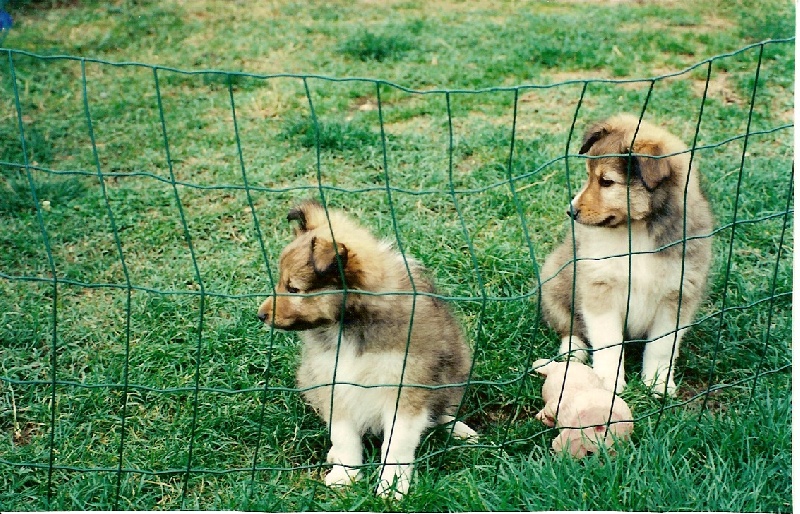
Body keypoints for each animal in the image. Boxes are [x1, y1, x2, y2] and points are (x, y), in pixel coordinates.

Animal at [256, 199, 476, 496]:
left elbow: (397, 446)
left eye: (293, 289)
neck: (350, 326)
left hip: (456, 370)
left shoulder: (406, 386)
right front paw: (345, 476)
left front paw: (391, 488)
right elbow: (343, 435)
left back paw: (458, 430)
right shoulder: (333, 382)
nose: (260, 315)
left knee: (441, 411)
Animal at [540, 115, 716, 396]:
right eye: (588, 175)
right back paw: (572, 352)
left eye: (606, 181)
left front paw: (657, 383)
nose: (571, 211)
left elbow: (661, 347)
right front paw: (607, 382)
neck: (637, 231)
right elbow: (608, 343)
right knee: (570, 329)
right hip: (554, 283)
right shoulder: (600, 289)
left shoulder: (676, 296)